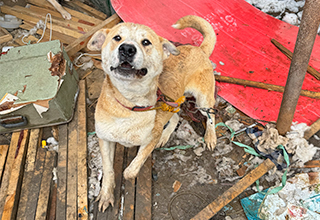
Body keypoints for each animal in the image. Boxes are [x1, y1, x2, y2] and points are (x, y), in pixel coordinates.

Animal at [87, 15, 218, 211]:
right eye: (117, 38)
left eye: (146, 42)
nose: (127, 49)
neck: (129, 104)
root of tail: (198, 48)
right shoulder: (104, 139)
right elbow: (109, 170)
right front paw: (106, 195)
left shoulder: (149, 139)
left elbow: (130, 171)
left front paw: (128, 174)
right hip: (173, 101)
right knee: (176, 115)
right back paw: (165, 136)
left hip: (203, 100)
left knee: (211, 115)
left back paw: (210, 137)